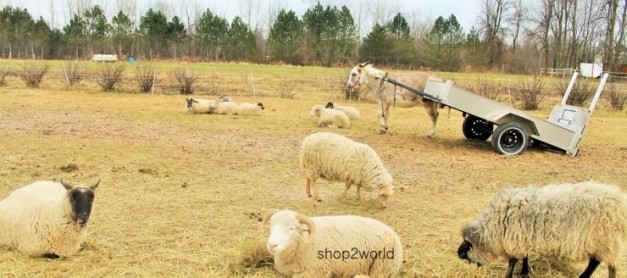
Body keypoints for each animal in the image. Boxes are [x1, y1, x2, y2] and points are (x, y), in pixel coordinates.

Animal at [262, 208, 404, 278]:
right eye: (271, 225)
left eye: (291, 228)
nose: (271, 245)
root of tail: (391, 231)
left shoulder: (317, 271)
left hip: (383, 265)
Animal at [456, 180, 627, 278]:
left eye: (465, 254)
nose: (458, 253)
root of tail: (620, 203)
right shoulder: (522, 237)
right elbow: (525, 256)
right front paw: (525, 271)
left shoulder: (515, 237)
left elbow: (513, 260)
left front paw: (511, 274)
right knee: (597, 261)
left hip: (604, 240)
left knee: (605, 264)